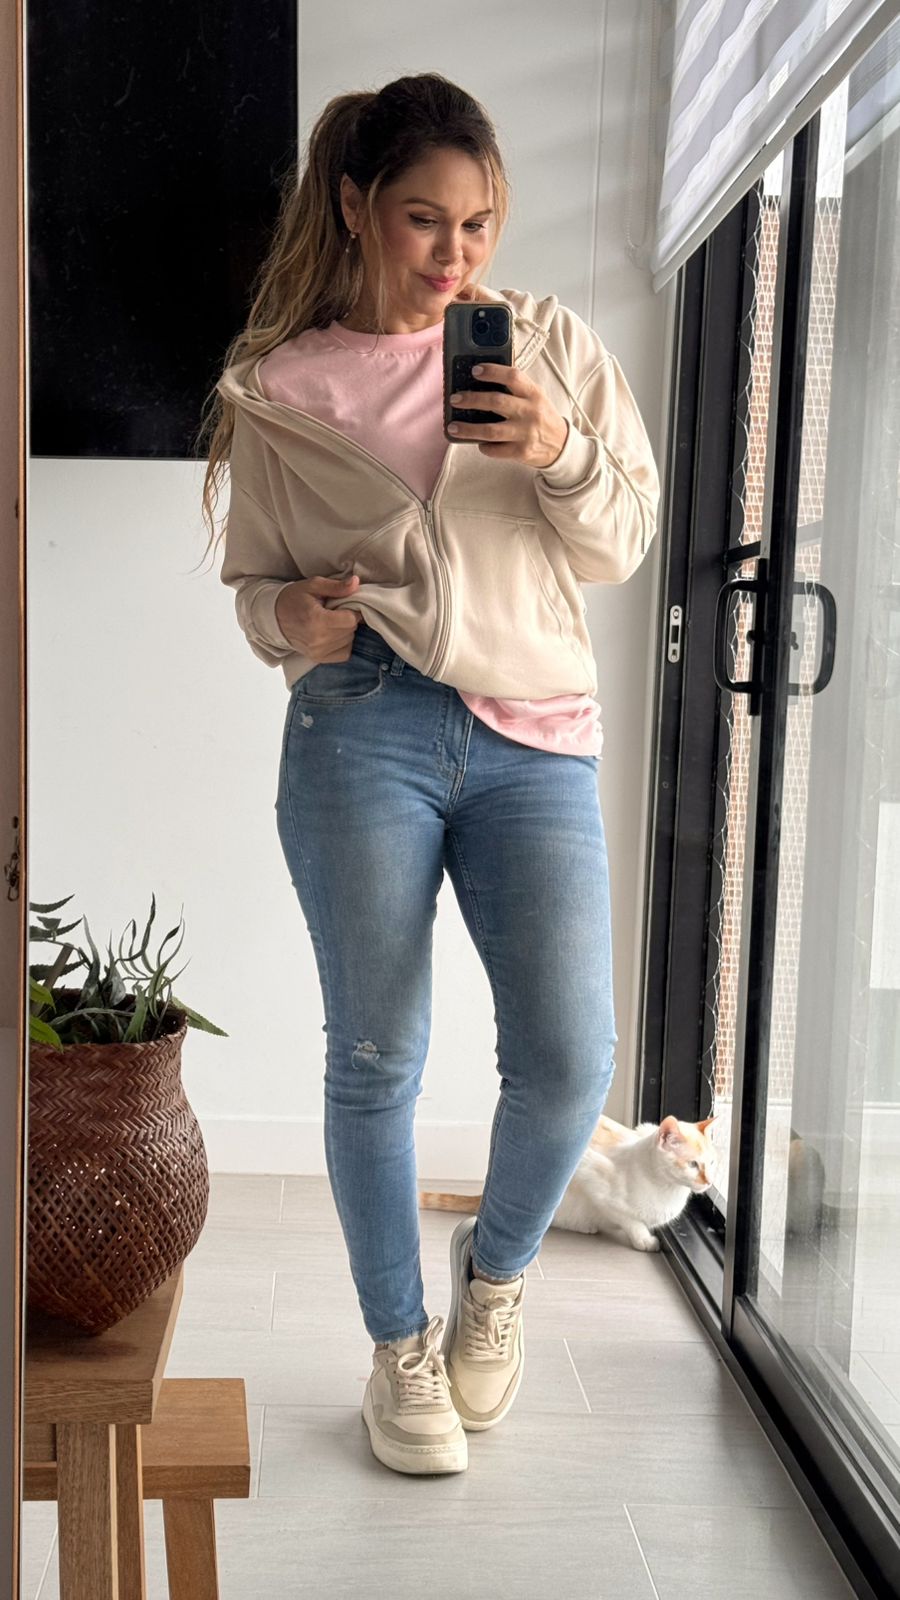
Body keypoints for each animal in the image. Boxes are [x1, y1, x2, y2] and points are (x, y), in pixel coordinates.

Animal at [418, 1113, 717, 1253]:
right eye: (693, 1164)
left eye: (711, 1163)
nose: (709, 1181)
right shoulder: (596, 1183)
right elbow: (630, 1220)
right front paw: (645, 1240)